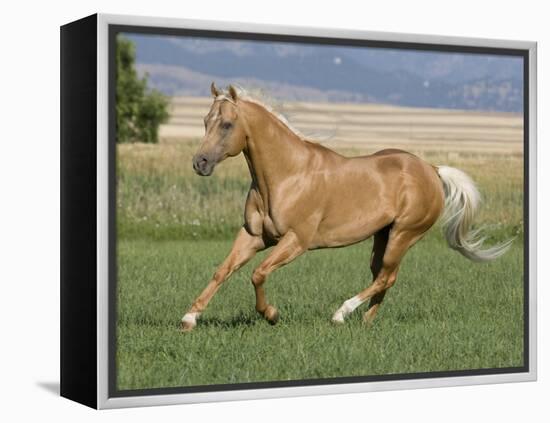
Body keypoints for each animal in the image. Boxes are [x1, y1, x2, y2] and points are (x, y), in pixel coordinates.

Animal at [182, 84, 512, 332]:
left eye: (227, 124)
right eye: (205, 122)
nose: (200, 163)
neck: (287, 175)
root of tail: (431, 169)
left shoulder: (296, 241)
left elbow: (258, 274)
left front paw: (271, 314)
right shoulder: (254, 236)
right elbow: (222, 271)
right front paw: (189, 318)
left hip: (404, 234)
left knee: (386, 277)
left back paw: (341, 314)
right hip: (383, 236)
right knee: (383, 277)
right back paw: (365, 322)